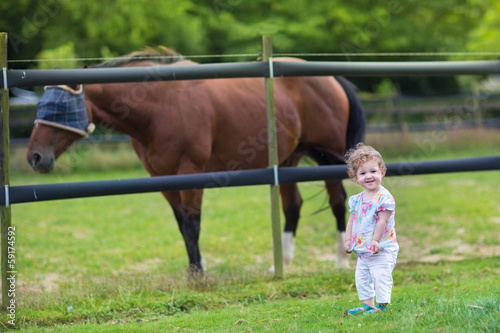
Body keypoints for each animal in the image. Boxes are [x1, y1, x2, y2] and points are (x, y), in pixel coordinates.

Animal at [26, 48, 364, 274]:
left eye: (59, 107)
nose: (35, 156)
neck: (159, 106)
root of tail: (332, 78)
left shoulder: (192, 172)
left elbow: (192, 224)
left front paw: (199, 274)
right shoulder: (162, 179)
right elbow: (181, 225)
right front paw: (192, 270)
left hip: (327, 157)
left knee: (338, 202)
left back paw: (340, 261)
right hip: (288, 160)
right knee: (293, 206)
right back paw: (282, 265)